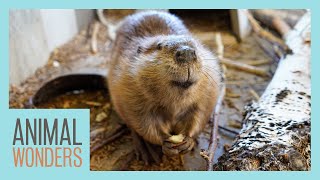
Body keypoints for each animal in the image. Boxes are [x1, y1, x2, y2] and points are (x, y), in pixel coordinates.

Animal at [107, 10, 222, 163]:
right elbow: (143, 122)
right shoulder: (128, 90)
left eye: (195, 45)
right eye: (159, 46)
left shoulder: (207, 94)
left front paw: (188, 141)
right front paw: (165, 143)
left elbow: (199, 114)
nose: (186, 52)